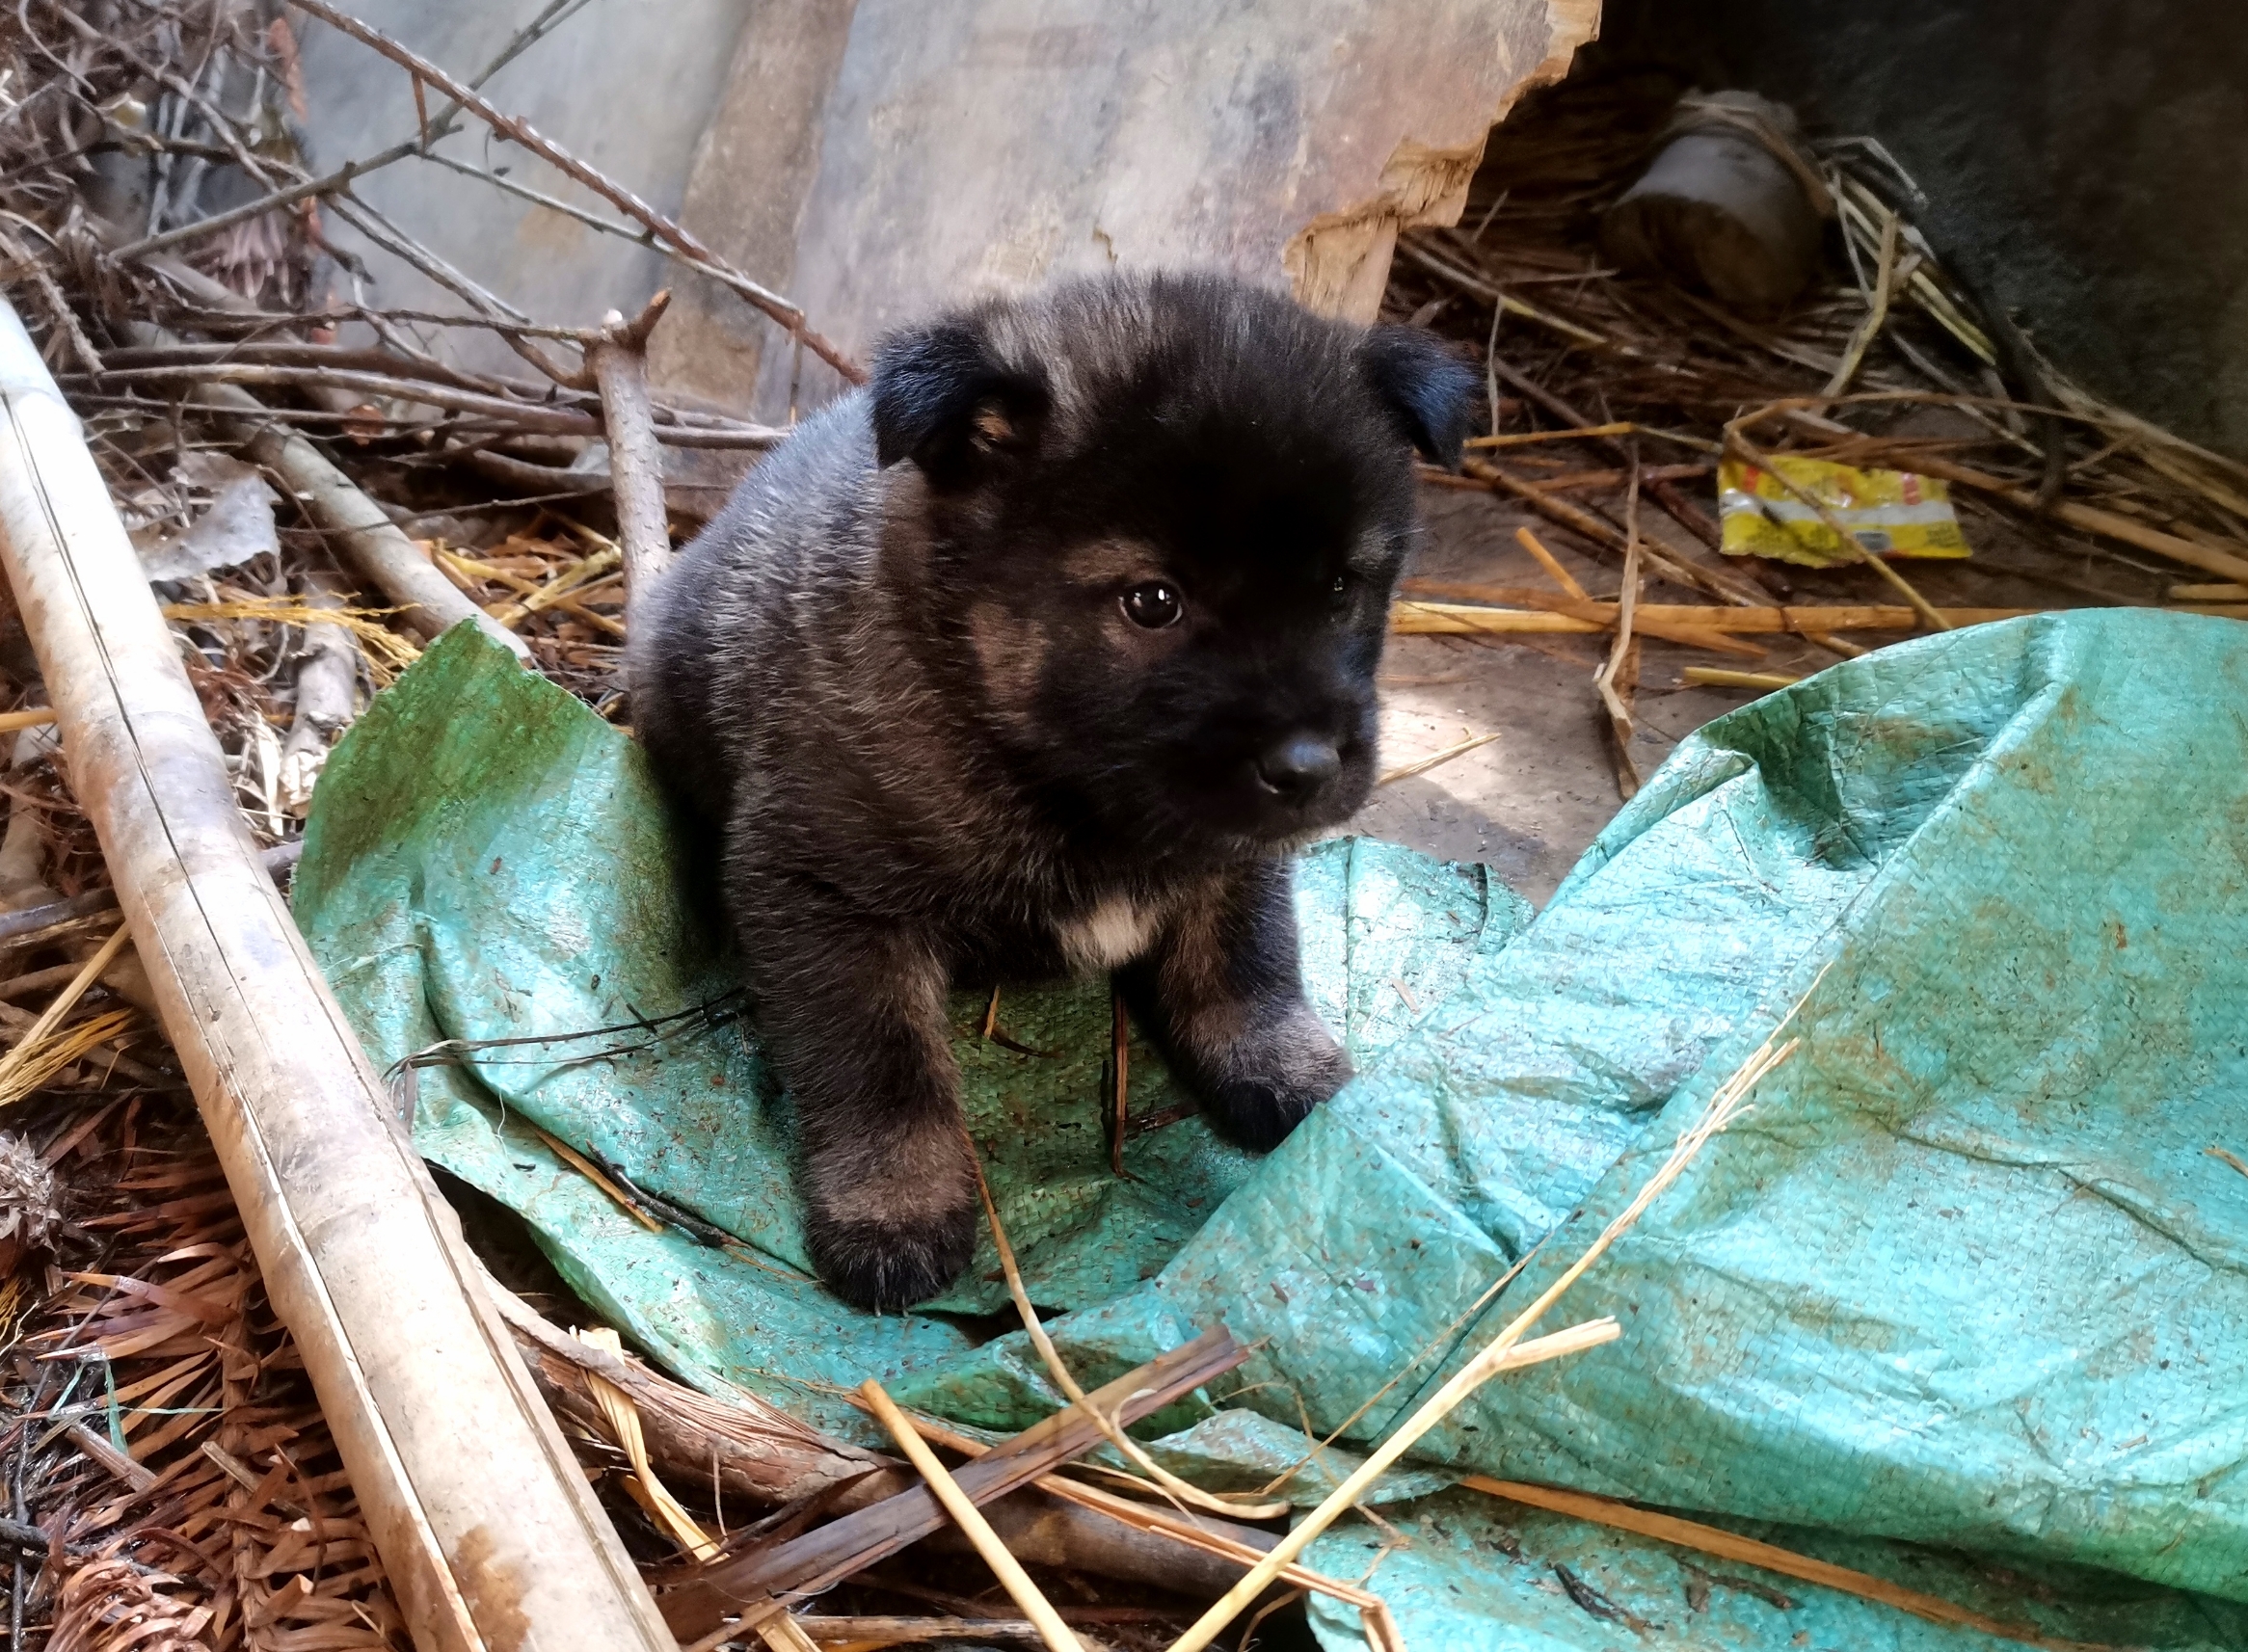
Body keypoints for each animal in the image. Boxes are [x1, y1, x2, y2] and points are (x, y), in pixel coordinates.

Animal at [633, 268, 1474, 1303]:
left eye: (1343, 589)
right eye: (1153, 602)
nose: (1311, 769)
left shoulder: (1235, 860)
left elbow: (1247, 964)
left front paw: (1281, 1066)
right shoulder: (824, 894)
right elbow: (879, 1063)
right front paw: (895, 1205)